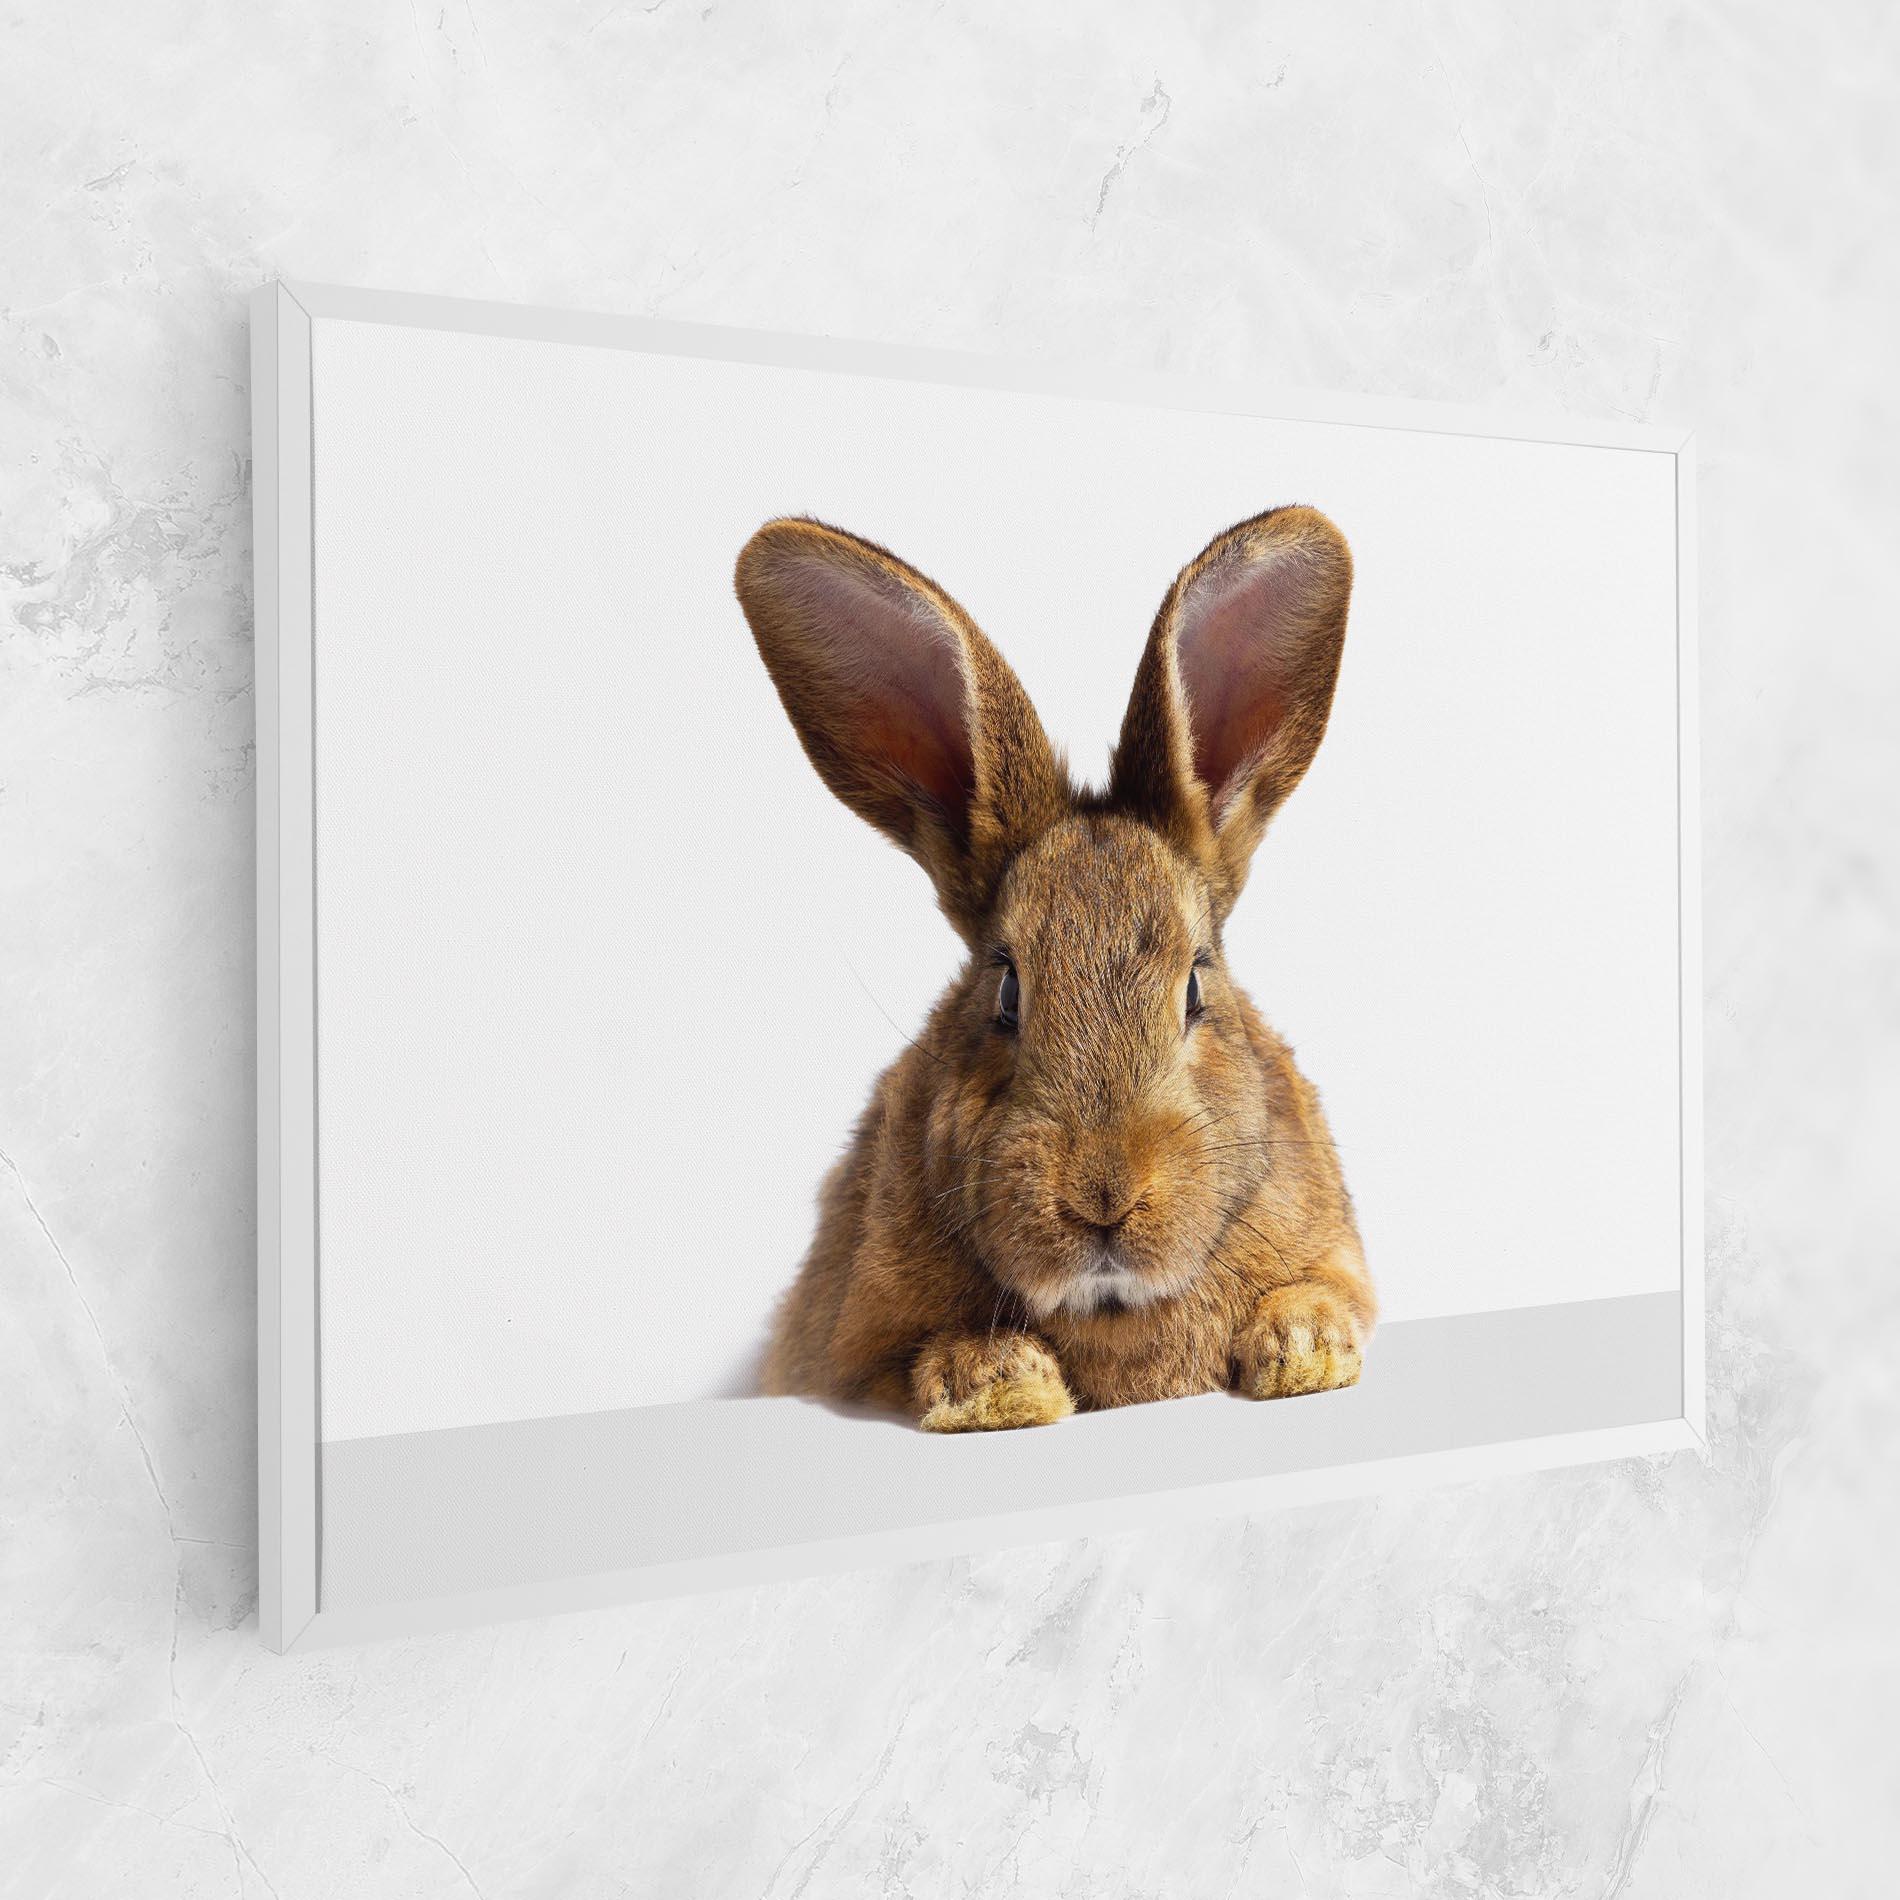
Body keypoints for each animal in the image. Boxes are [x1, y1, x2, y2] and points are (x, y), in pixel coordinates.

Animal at [733, 505, 1374, 1432]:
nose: (1102, 1198)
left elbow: (1322, 1296)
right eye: (1005, 989)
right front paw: (999, 1383)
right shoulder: (847, 1357)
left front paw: (1303, 1349)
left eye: (1195, 986)